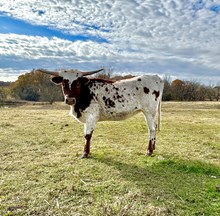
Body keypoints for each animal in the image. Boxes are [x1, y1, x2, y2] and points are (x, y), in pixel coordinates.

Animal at [35, 68, 163, 158]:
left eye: (77, 83)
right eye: (63, 83)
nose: (70, 100)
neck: (85, 92)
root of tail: (156, 77)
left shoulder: (91, 115)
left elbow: (87, 135)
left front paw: (85, 153)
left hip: (149, 111)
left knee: (151, 129)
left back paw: (149, 151)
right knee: (155, 127)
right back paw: (154, 148)